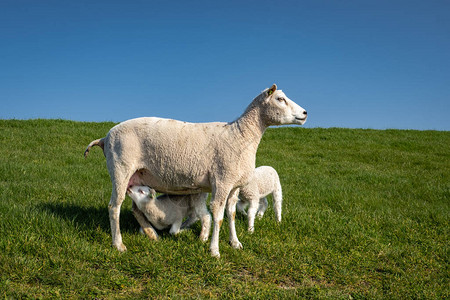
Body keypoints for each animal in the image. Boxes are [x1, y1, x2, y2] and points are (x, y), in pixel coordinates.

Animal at [84, 84, 308, 258]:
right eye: (280, 99)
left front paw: (235, 243)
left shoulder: (234, 185)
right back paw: (119, 244)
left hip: (136, 176)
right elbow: (218, 215)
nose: (305, 113)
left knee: (136, 208)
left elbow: (231, 214)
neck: (241, 136)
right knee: (114, 206)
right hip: (120, 169)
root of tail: (105, 137)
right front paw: (214, 250)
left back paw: (151, 234)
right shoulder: (221, 181)